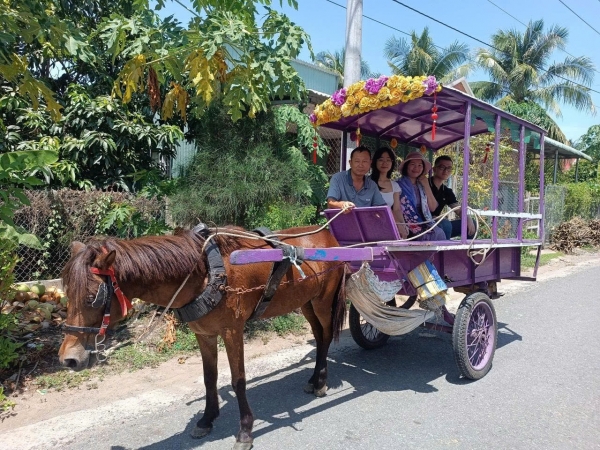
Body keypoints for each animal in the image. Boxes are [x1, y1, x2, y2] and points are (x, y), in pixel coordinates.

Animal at [58, 225, 347, 450]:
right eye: (67, 294)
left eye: (92, 298)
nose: (68, 359)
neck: (206, 273)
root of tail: (329, 238)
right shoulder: (204, 334)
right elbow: (210, 379)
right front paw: (207, 420)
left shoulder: (232, 332)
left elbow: (238, 381)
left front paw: (245, 430)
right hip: (306, 302)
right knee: (319, 336)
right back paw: (313, 379)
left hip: (323, 302)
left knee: (325, 336)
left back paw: (321, 382)